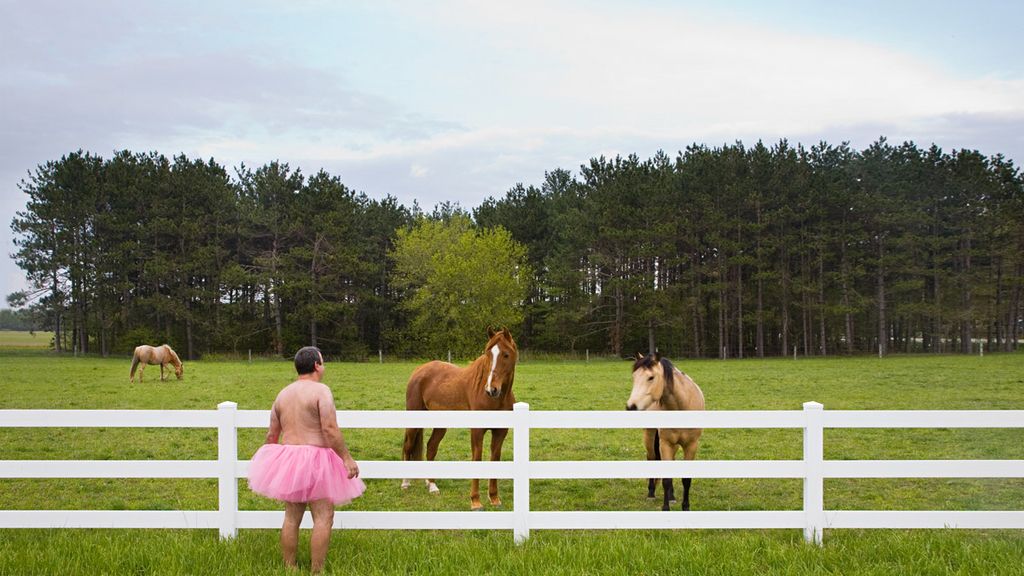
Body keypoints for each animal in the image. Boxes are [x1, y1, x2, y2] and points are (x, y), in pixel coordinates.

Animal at [397, 325, 516, 508]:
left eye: (506, 354)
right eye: (488, 354)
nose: (491, 389)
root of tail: (419, 370)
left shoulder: (500, 432)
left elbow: (494, 459)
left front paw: (494, 498)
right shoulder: (477, 431)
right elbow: (477, 458)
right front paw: (475, 501)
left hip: (440, 424)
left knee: (431, 448)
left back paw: (432, 485)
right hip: (414, 420)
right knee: (408, 446)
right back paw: (405, 483)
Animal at [622, 352, 704, 508]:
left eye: (651, 377)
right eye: (634, 377)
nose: (631, 407)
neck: (681, 407)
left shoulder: (691, 445)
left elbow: (686, 480)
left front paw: (685, 507)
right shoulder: (665, 443)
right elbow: (666, 479)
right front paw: (665, 508)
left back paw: (671, 496)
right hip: (649, 434)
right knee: (651, 458)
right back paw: (651, 493)